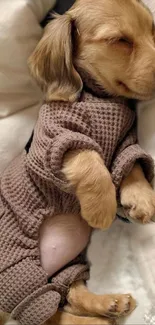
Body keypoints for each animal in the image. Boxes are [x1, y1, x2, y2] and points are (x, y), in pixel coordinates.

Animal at [0, 0, 155, 324]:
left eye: (152, 31)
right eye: (119, 40)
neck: (99, 97)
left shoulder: (125, 140)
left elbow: (131, 163)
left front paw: (140, 197)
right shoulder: (54, 141)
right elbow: (90, 159)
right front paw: (102, 208)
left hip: (66, 266)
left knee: (68, 294)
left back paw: (109, 304)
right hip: (16, 273)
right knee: (46, 314)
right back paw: (93, 320)